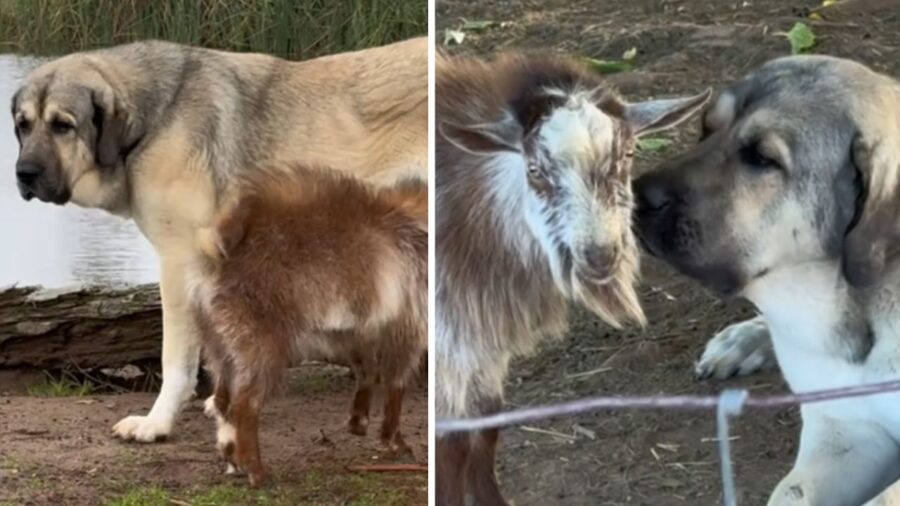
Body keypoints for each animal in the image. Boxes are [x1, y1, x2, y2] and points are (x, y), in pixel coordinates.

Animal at [9, 37, 426, 440]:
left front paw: (157, 424)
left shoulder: (179, 261)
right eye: (23, 125)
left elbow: (177, 359)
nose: (23, 173)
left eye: (63, 125)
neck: (157, 118)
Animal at [189, 169, 426, 486]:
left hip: (218, 341)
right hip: (259, 339)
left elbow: (366, 370)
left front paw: (359, 421)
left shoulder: (365, 328)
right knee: (245, 406)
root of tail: (223, 249)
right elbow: (396, 384)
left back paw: (232, 457)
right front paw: (393, 440)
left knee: (223, 399)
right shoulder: (407, 325)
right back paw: (256, 470)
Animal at [436, 52, 712, 506]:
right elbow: (451, 443)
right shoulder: (450, 346)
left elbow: (487, 424)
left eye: (629, 153)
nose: (599, 255)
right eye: (534, 169)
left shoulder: (483, 348)